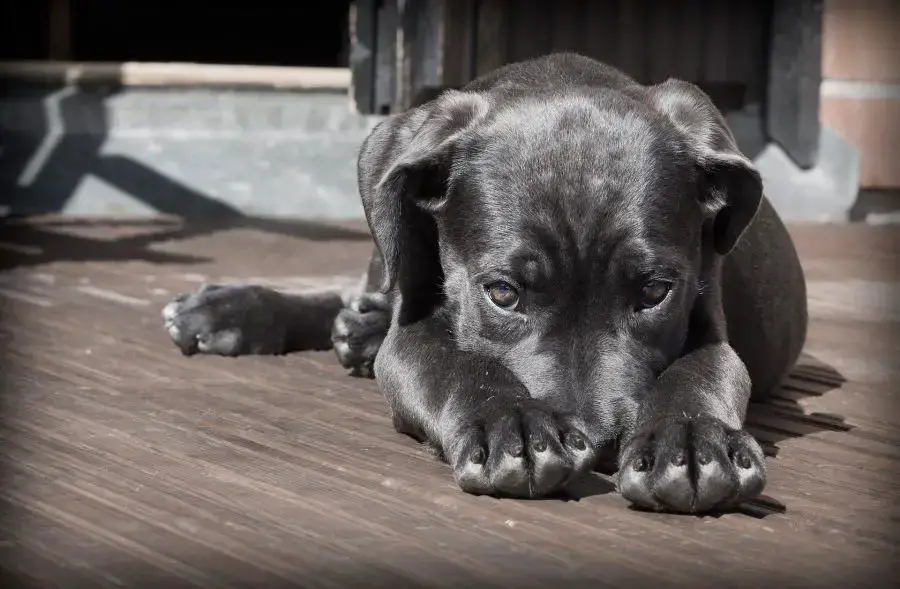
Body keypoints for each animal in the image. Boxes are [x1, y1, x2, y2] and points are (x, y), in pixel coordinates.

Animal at [162, 55, 808, 516]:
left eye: (654, 293)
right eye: (502, 293)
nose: (599, 443)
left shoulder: (710, 321)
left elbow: (702, 372)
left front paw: (691, 441)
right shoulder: (414, 332)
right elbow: (455, 364)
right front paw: (512, 425)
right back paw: (235, 311)